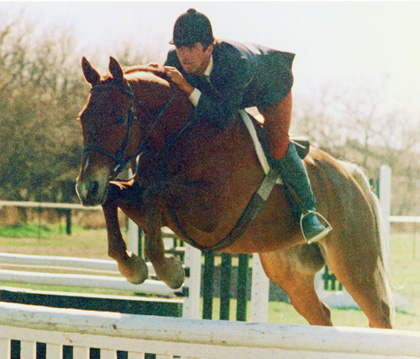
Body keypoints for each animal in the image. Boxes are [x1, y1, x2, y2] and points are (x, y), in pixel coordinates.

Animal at [75, 57, 394, 330]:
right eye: (82, 118)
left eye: (119, 118)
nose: (86, 188)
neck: (181, 134)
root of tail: (351, 175)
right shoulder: (143, 199)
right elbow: (114, 196)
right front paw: (131, 265)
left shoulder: (213, 216)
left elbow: (156, 195)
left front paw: (170, 270)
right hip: (290, 271)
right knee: (321, 316)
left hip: (353, 263)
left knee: (379, 314)